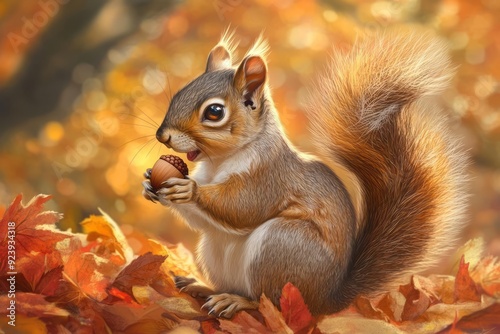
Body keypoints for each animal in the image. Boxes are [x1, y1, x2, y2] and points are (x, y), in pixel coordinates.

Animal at [142, 27, 468, 318]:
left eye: (214, 112)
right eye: (180, 92)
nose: (162, 136)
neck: (219, 162)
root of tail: (327, 300)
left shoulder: (270, 177)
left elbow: (243, 207)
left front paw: (188, 190)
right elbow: (202, 220)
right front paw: (150, 184)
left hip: (282, 245)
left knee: (267, 301)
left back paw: (236, 302)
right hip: (216, 250)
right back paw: (205, 288)